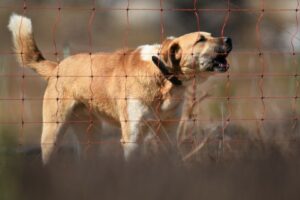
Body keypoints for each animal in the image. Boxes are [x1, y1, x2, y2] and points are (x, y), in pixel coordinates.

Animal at [7, 13, 232, 164]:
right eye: (200, 39)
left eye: (211, 34)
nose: (229, 39)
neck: (161, 75)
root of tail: (58, 66)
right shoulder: (132, 137)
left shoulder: (167, 132)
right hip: (53, 132)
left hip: (90, 136)